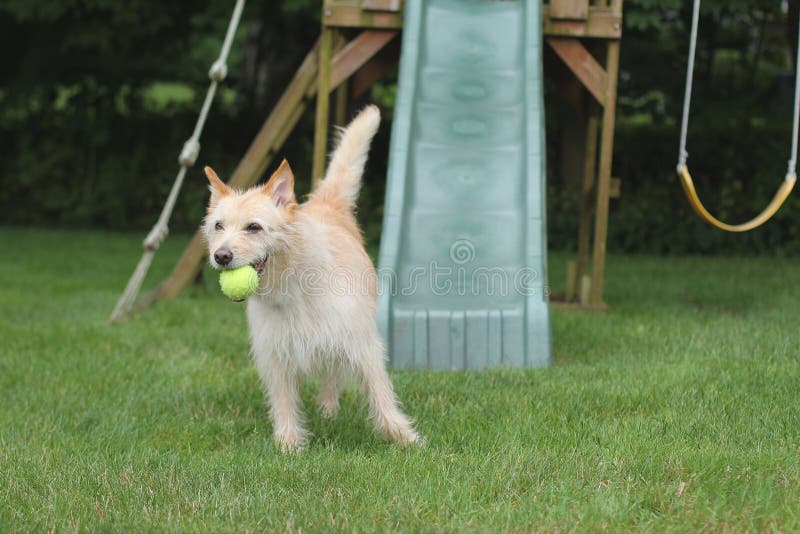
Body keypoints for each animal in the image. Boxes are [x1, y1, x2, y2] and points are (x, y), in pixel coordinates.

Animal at [202, 105, 418, 452]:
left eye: (254, 227)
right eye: (218, 226)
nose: (220, 255)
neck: (294, 288)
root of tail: (325, 204)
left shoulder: (361, 344)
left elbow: (380, 393)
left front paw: (403, 436)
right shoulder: (276, 354)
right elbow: (283, 400)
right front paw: (289, 443)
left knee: (333, 375)